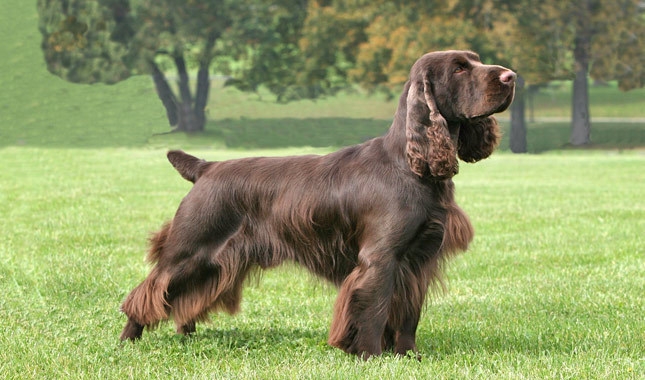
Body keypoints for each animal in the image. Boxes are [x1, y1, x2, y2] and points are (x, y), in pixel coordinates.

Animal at [119, 51, 512, 360]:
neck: (411, 165)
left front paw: (408, 355)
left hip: (213, 261)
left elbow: (407, 316)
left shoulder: (419, 261)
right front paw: (370, 356)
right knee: (147, 292)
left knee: (184, 300)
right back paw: (127, 341)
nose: (511, 76)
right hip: (191, 248)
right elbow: (374, 309)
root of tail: (206, 168)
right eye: (459, 68)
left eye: (475, 60)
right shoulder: (381, 257)